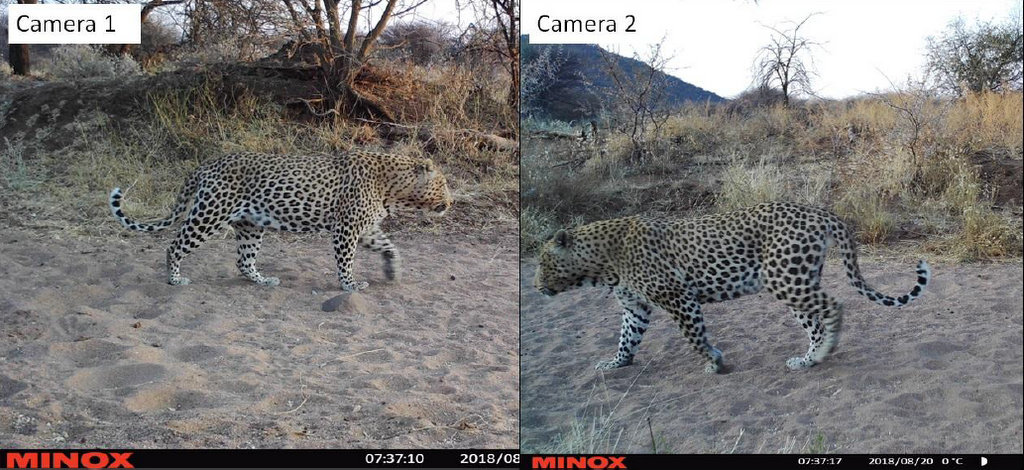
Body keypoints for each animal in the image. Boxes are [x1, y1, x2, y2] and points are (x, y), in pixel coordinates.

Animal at [107, 150, 452, 290]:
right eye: (444, 183)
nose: (451, 202)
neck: (394, 187)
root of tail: (206, 164)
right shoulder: (346, 228)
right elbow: (346, 261)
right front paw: (349, 285)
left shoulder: (365, 228)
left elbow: (390, 247)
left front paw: (393, 272)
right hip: (210, 214)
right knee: (175, 245)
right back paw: (174, 279)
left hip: (250, 225)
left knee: (243, 261)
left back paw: (263, 281)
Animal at [536, 202, 929, 374]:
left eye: (541, 262)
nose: (536, 285)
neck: (600, 263)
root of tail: (819, 210)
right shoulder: (635, 307)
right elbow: (626, 337)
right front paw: (617, 362)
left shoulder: (678, 298)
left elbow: (694, 337)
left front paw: (714, 362)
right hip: (795, 279)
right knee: (815, 320)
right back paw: (808, 359)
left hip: (784, 279)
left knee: (835, 307)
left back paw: (823, 353)